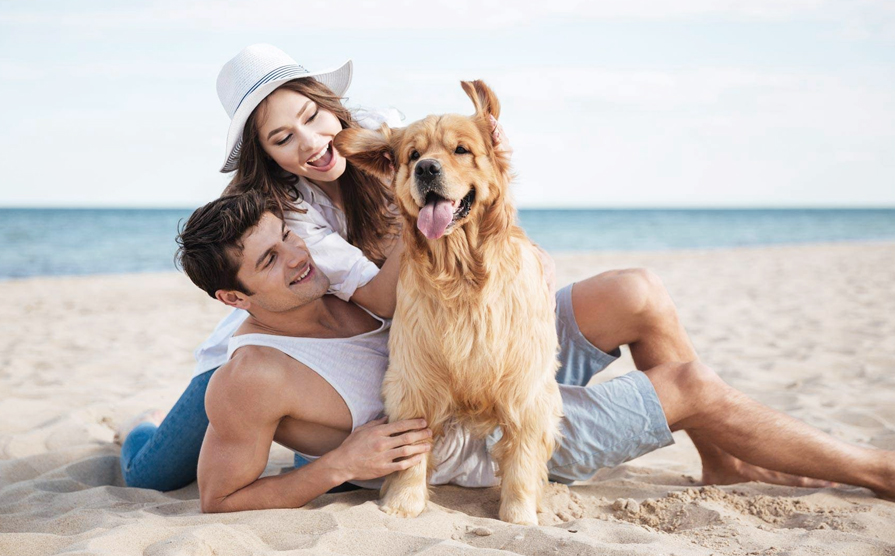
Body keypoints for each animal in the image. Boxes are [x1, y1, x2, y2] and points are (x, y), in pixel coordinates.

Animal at [336, 80, 560, 524]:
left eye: (460, 150)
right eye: (413, 155)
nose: (426, 169)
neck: (460, 275)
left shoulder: (526, 387)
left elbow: (523, 456)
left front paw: (519, 515)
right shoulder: (414, 379)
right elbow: (410, 450)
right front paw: (402, 504)